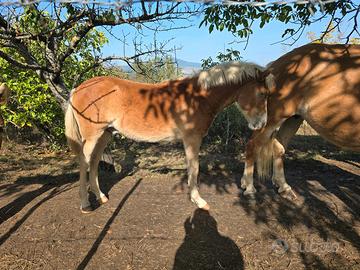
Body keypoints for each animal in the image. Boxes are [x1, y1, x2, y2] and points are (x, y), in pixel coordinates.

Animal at [65, 61, 276, 213]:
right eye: (263, 93)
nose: (261, 124)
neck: (198, 98)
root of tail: (78, 89)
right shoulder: (192, 139)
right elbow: (194, 168)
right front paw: (198, 200)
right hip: (92, 137)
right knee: (84, 162)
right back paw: (85, 203)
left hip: (105, 135)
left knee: (93, 163)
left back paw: (101, 196)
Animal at [239, 43, 360, 197]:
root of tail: (276, 65)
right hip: (272, 118)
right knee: (252, 145)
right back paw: (249, 187)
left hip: (293, 119)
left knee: (278, 147)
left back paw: (284, 187)